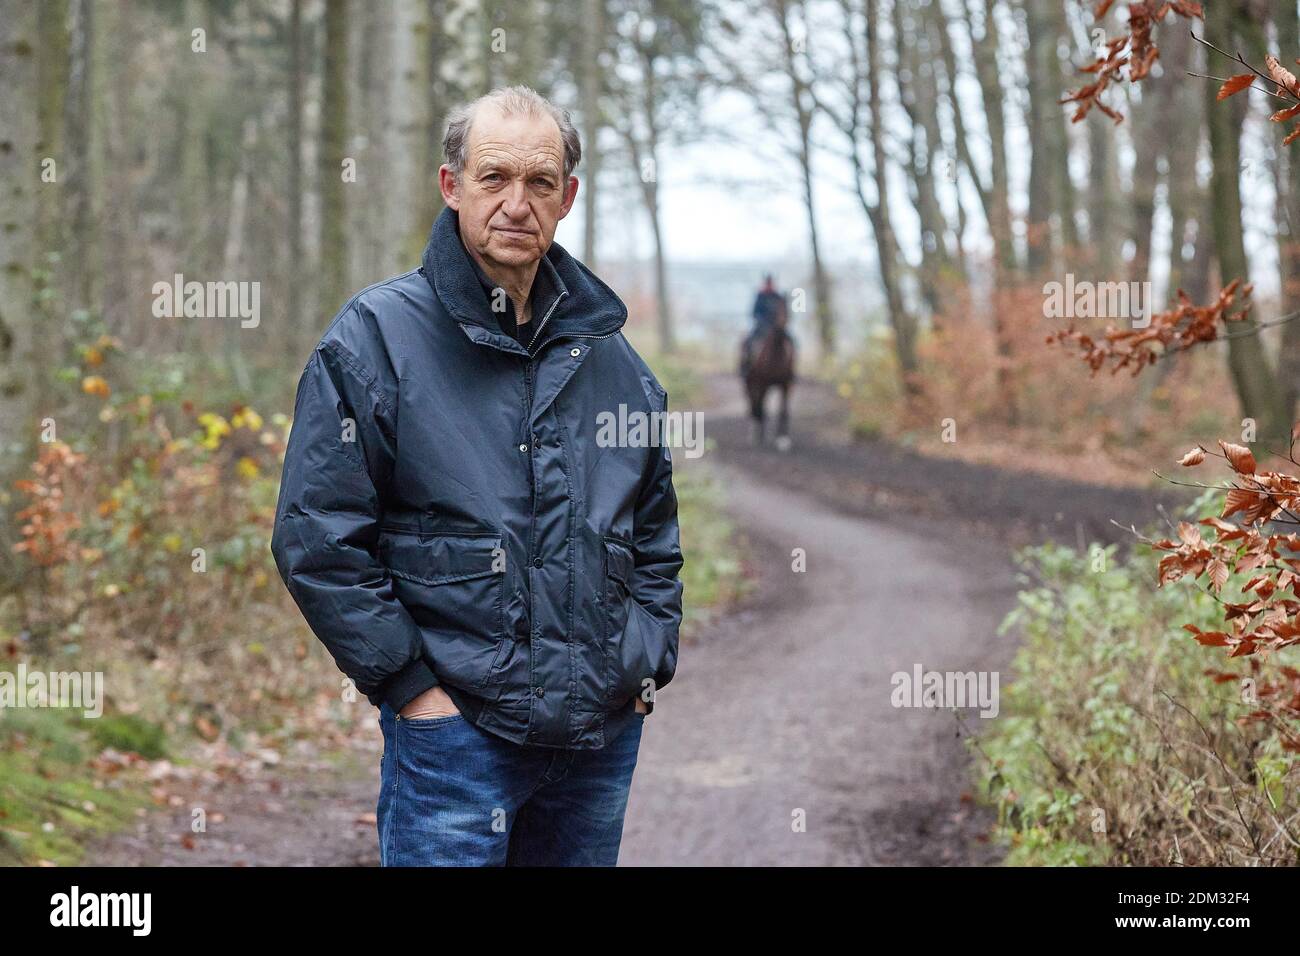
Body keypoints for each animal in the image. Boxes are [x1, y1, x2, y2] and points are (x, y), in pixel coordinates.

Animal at [743, 303, 790, 447]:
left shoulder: (786, 384)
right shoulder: (762, 383)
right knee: (754, 403)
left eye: (787, 308)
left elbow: (783, 410)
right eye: (775, 310)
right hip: (750, 382)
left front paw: (783, 439)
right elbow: (759, 405)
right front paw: (759, 435)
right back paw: (755, 432)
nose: (782, 323)